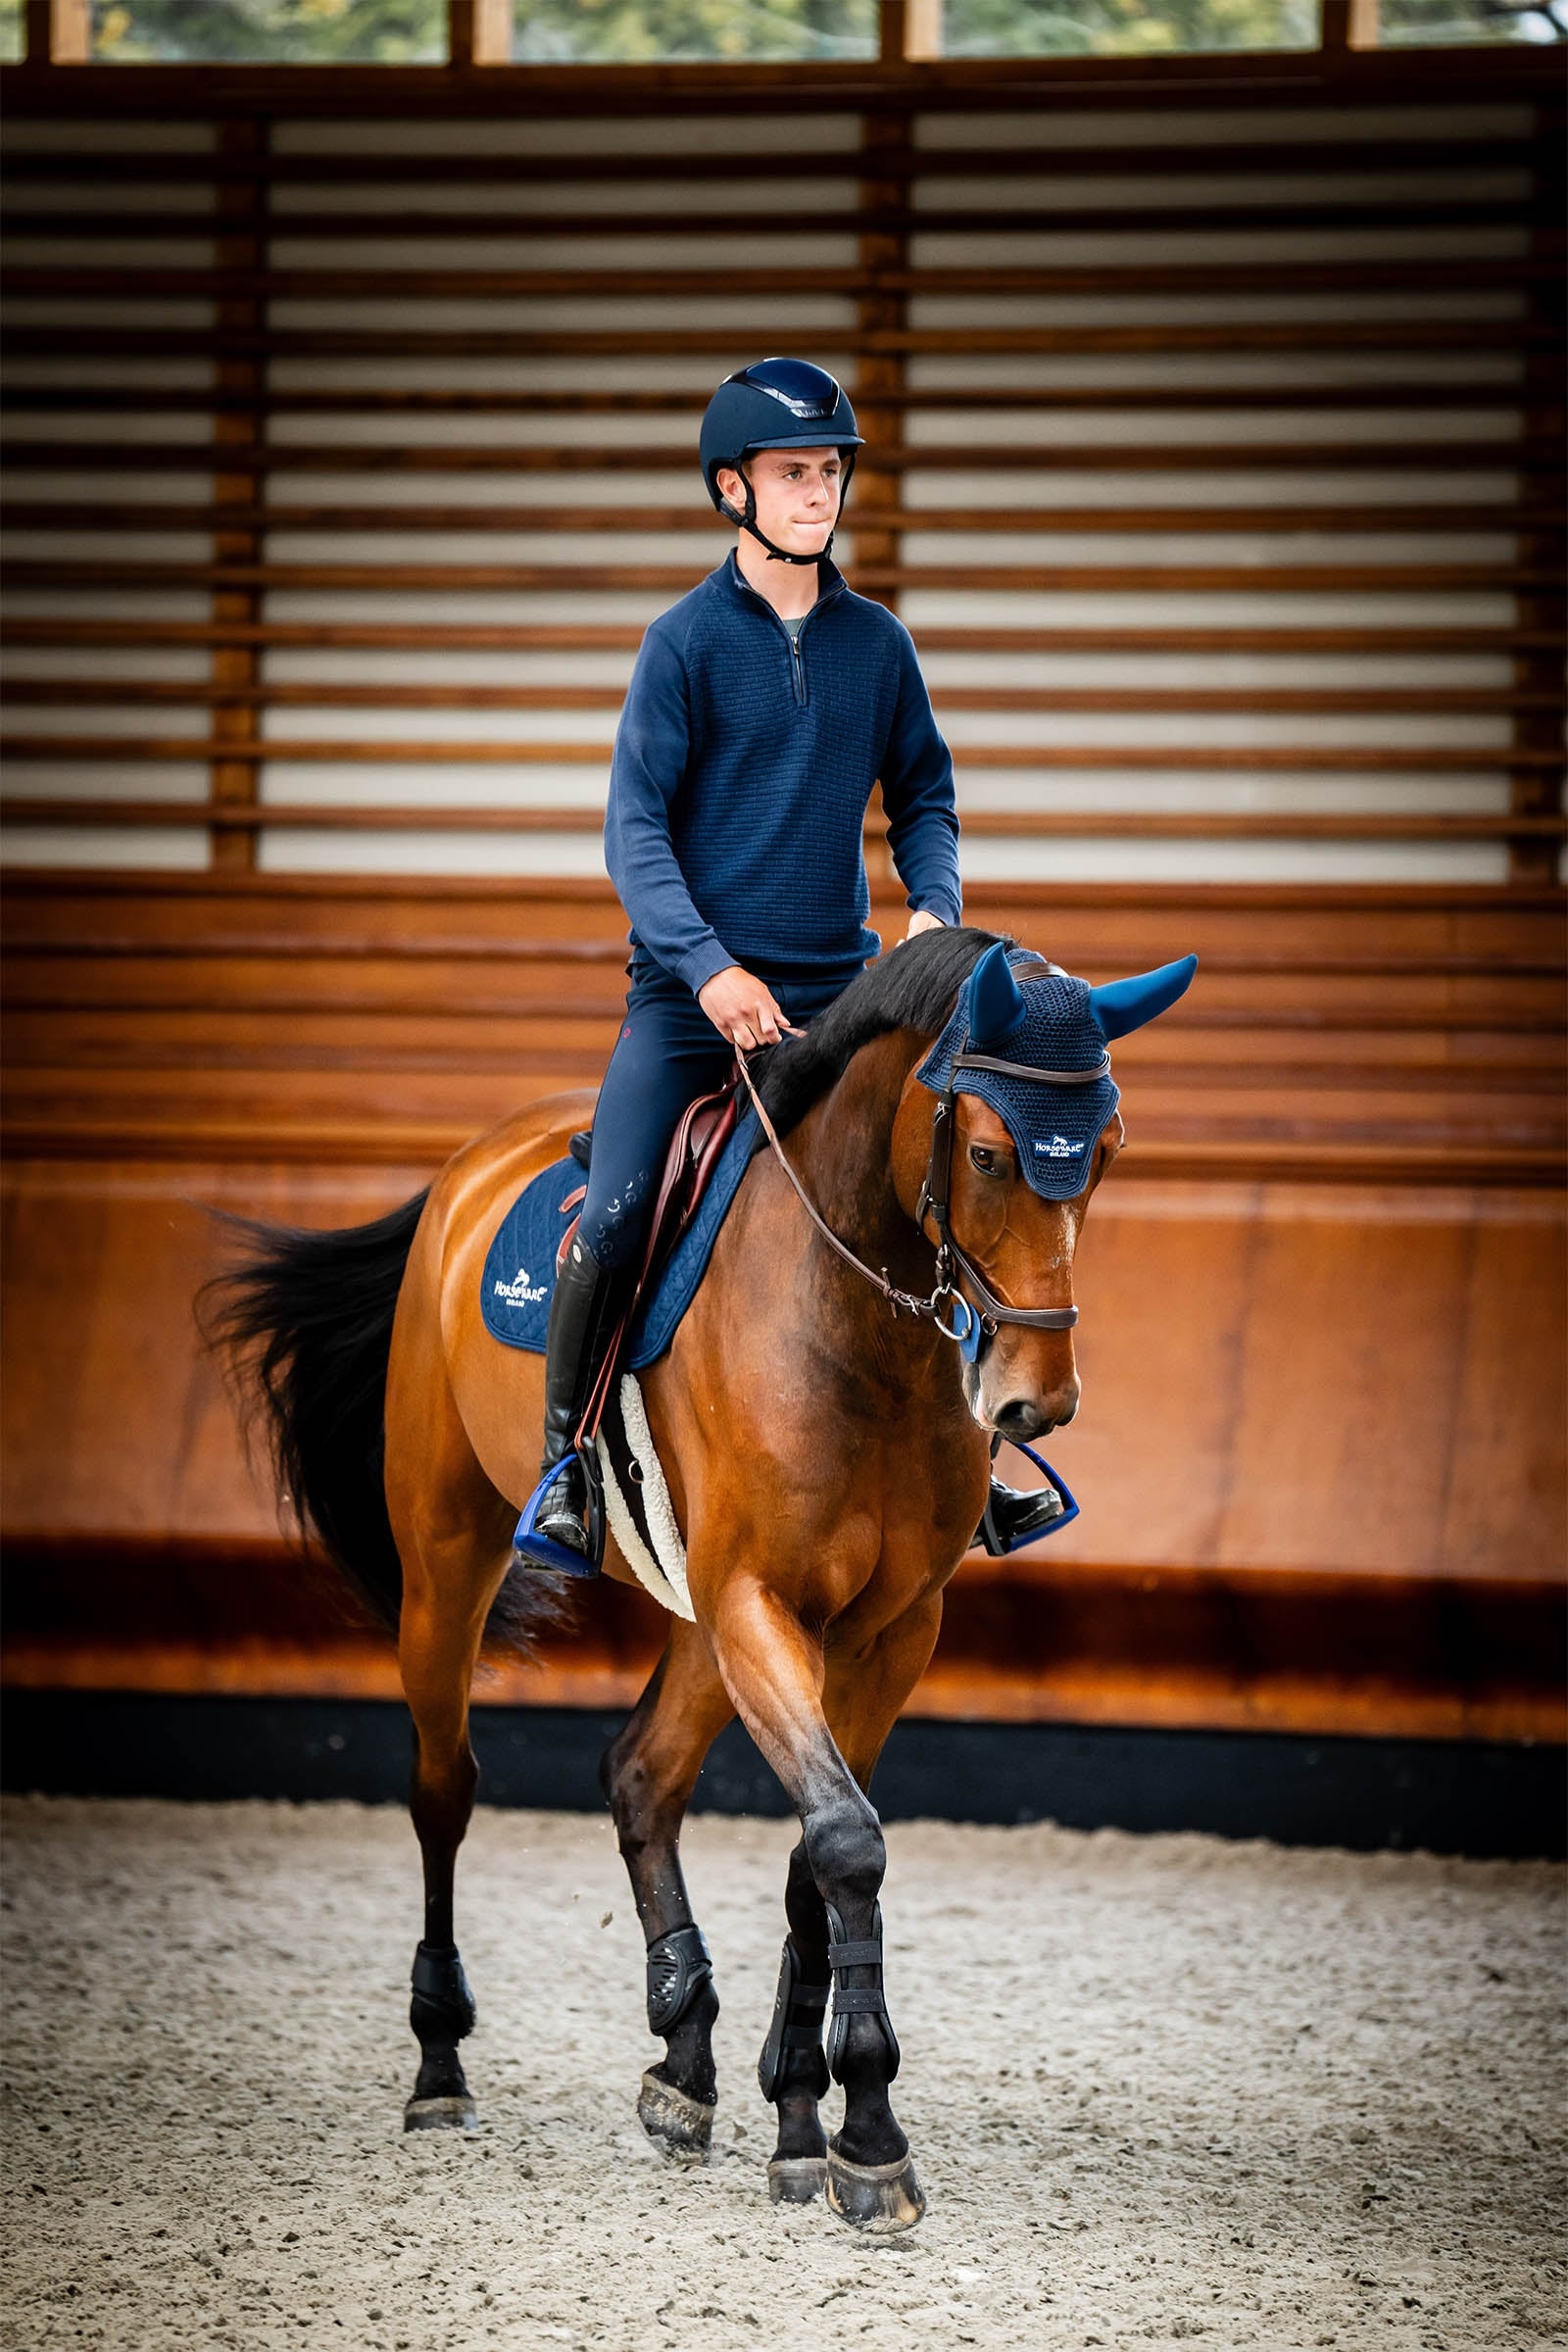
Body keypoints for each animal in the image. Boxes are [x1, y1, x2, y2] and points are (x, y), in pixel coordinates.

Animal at [210, 924, 1193, 2235]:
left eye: (1108, 1155)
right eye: (988, 1154)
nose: (1039, 1403)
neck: (852, 1318)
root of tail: (470, 1167)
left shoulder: (887, 1630)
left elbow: (819, 1854)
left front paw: (803, 2116)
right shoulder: (758, 1605)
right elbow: (845, 1841)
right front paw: (866, 2133)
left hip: (693, 1619)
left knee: (641, 1774)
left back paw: (683, 2057)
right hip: (452, 1561)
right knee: (443, 1790)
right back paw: (440, 2066)